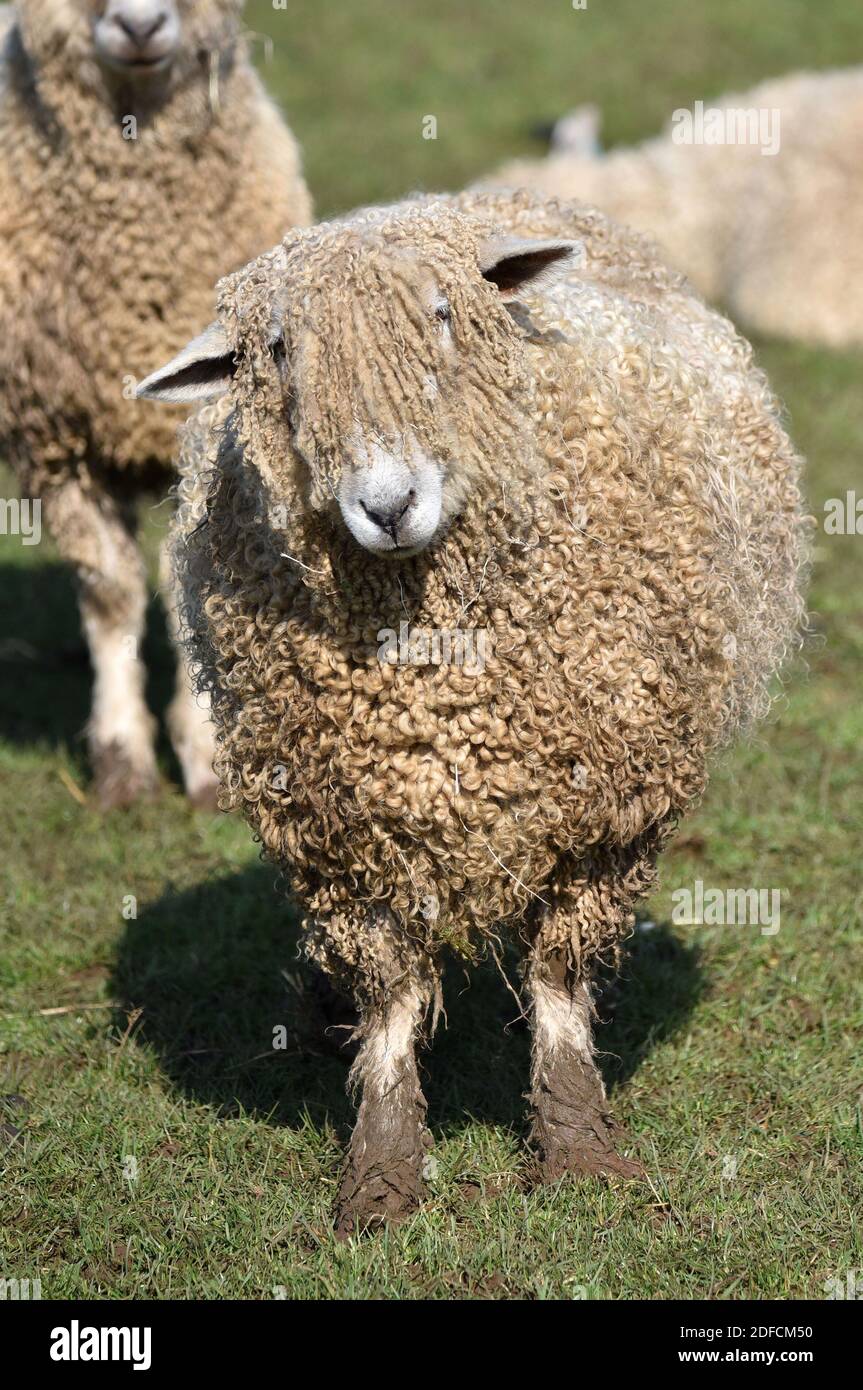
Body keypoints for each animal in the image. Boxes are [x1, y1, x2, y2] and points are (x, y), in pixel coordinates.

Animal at [0, 0, 311, 808]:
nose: (140, 27)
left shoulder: (200, 432)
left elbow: (187, 589)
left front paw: (201, 759)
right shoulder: (57, 444)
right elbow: (109, 593)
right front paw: (121, 759)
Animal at [139, 187, 807, 1234]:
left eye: (444, 315)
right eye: (277, 352)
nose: (386, 504)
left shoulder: (603, 806)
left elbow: (558, 976)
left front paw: (575, 1149)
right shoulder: (341, 818)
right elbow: (389, 993)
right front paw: (380, 1176)